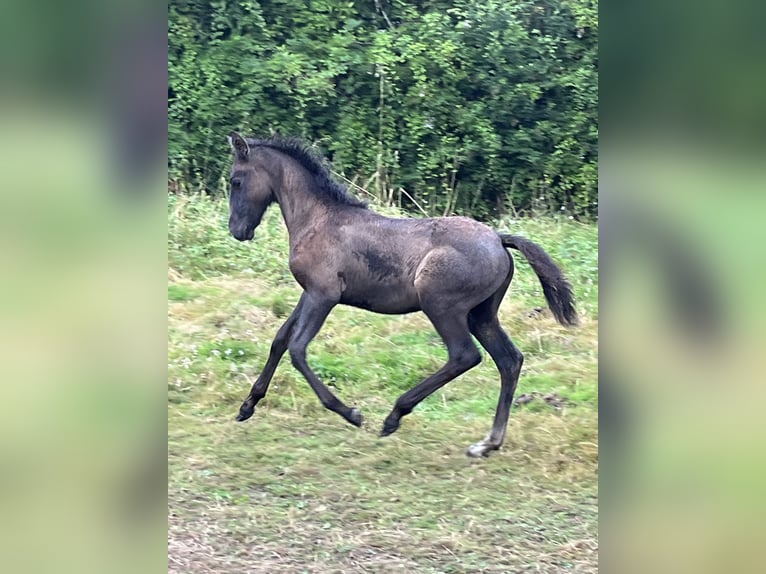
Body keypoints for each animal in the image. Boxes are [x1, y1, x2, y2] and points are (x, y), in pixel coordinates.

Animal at [226, 134, 576, 460]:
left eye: (236, 181)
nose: (237, 231)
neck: (318, 219)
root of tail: (499, 240)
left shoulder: (323, 295)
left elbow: (297, 349)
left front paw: (350, 413)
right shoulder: (309, 293)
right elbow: (280, 340)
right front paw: (247, 406)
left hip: (441, 305)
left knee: (465, 356)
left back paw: (395, 415)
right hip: (481, 314)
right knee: (509, 360)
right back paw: (487, 443)